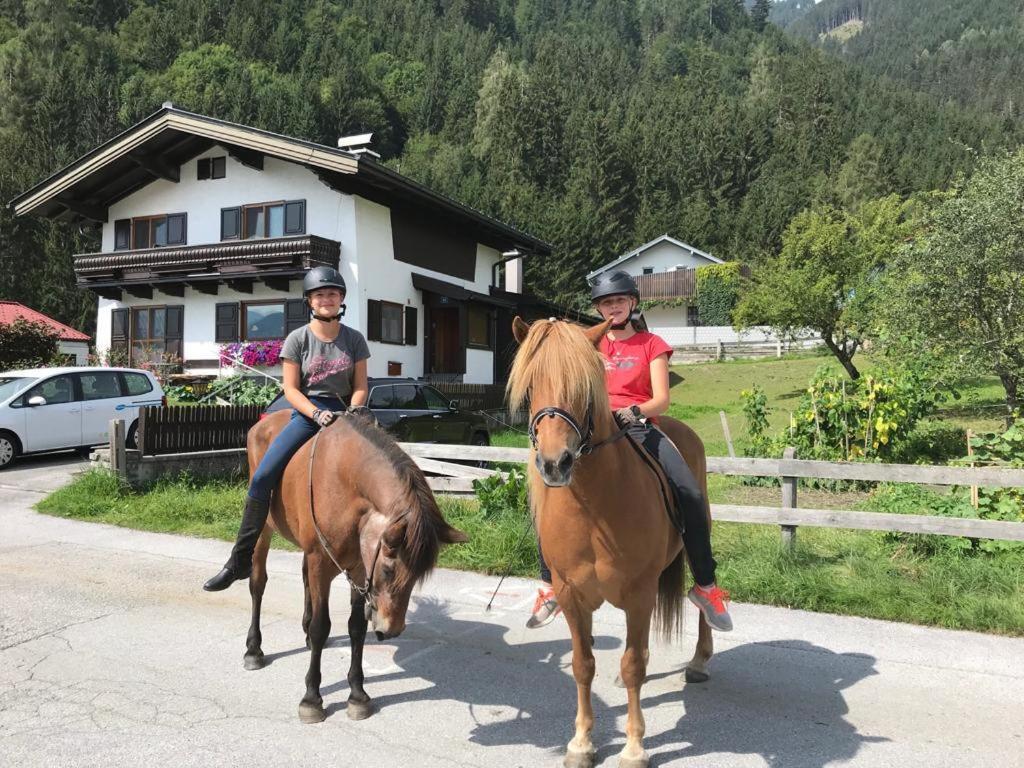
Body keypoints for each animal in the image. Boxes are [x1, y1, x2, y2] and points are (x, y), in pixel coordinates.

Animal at [239, 411, 464, 724]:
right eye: (388, 570)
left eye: (417, 577)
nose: (391, 630)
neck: (344, 483)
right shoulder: (321, 563)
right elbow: (322, 626)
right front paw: (312, 698)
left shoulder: (359, 568)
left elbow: (356, 627)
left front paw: (357, 694)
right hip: (264, 530)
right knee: (257, 584)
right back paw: (253, 649)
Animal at [507, 317, 716, 768]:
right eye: (530, 387)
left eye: (585, 388)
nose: (554, 463)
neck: (594, 508)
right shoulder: (572, 594)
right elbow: (583, 665)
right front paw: (581, 742)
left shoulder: (639, 594)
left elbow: (635, 664)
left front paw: (635, 747)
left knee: (703, 588)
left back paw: (700, 658)